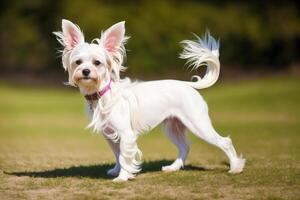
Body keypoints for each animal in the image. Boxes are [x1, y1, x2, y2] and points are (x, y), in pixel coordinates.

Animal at [54, 19, 246, 182]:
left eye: (97, 63)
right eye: (78, 62)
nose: (85, 71)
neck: (102, 95)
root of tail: (186, 85)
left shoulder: (126, 134)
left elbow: (124, 156)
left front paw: (122, 177)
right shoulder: (110, 135)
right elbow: (117, 155)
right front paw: (117, 170)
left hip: (198, 124)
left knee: (224, 142)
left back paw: (235, 167)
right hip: (173, 127)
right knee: (184, 147)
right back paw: (173, 167)